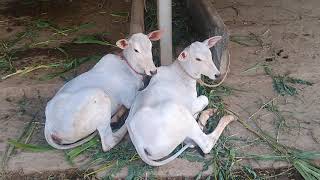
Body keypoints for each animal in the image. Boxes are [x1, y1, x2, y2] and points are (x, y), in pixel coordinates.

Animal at [126, 36, 236, 166]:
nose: (217, 74)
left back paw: (207, 114)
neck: (181, 74)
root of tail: (139, 144)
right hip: (180, 111)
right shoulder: (190, 104)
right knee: (205, 143)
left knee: (192, 141)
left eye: (210, 54)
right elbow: (205, 98)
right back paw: (226, 117)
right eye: (198, 59)